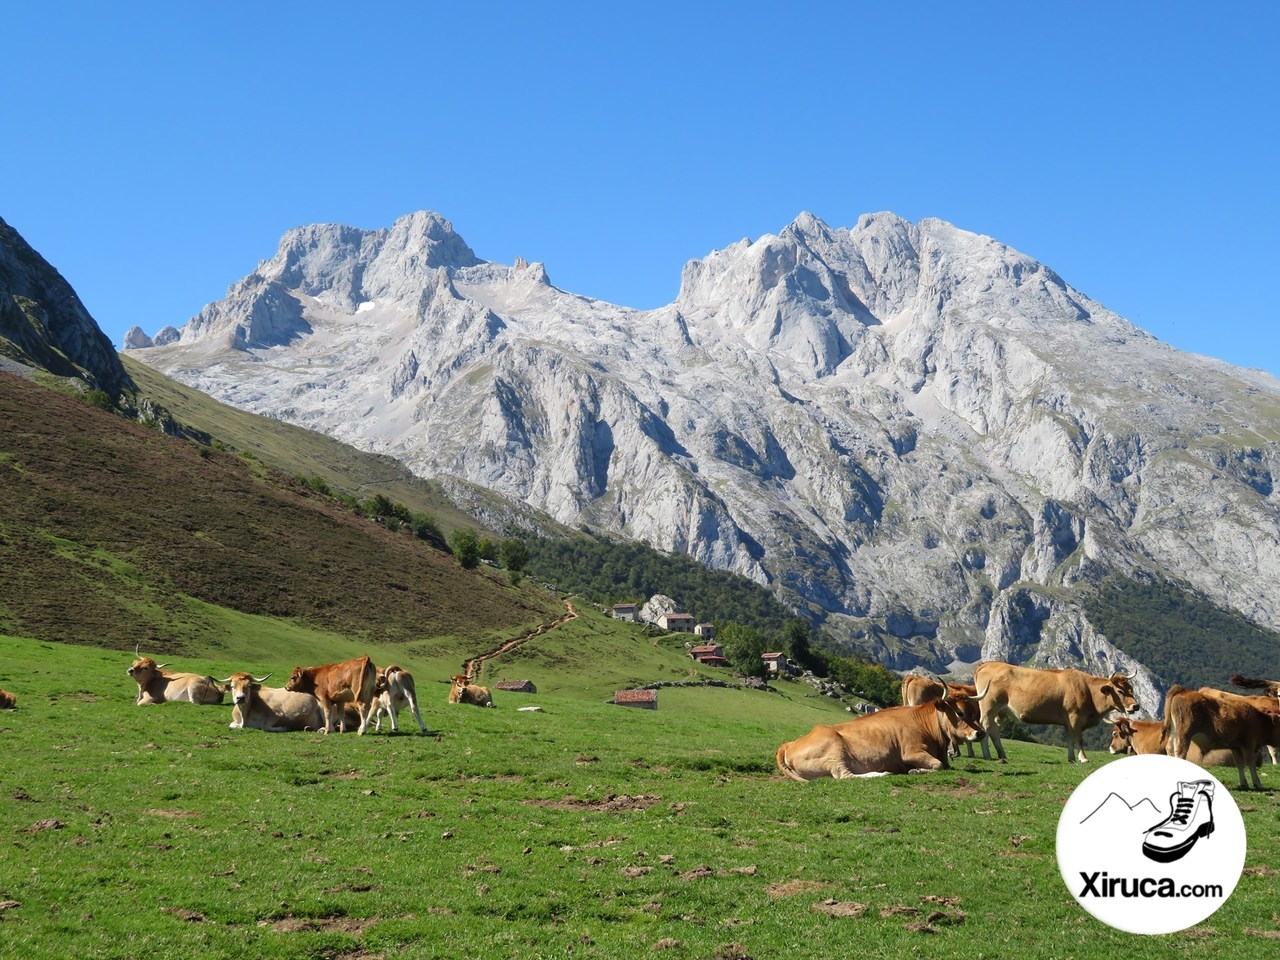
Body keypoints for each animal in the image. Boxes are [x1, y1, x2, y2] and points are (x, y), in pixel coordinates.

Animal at [768, 686, 988, 783]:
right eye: (959, 712)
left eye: (975, 712)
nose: (980, 733)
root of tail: (788, 744)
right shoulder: (911, 753)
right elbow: (938, 765)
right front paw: (915, 771)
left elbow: (944, 764)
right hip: (835, 750)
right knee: (844, 775)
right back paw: (884, 773)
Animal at [967, 660, 1141, 768]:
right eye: (1120, 690)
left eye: (1131, 689)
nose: (1136, 706)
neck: (1088, 690)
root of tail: (988, 663)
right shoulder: (1074, 717)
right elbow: (1079, 739)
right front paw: (1083, 758)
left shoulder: (1068, 722)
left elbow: (1070, 740)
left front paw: (1071, 759)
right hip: (988, 707)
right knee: (985, 727)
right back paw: (987, 755)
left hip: (1001, 712)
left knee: (995, 730)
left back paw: (1002, 755)